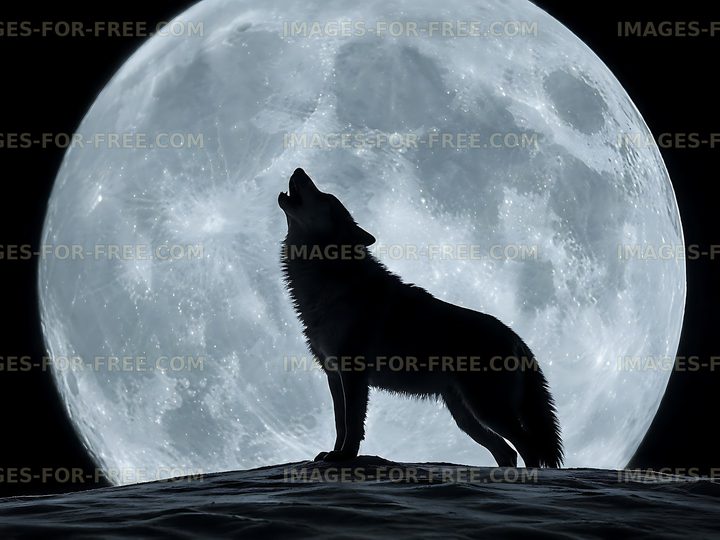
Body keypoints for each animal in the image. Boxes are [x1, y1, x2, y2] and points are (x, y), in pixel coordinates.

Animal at [279, 168, 563, 468]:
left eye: (326, 197)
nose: (298, 169)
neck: (329, 278)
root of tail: (518, 339)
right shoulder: (334, 375)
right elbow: (340, 423)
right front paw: (332, 454)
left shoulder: (353, 374)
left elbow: (353, 424)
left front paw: (344, 457)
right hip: (466, 417)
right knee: (507, 451)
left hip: (487, 410)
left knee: (528, 447)